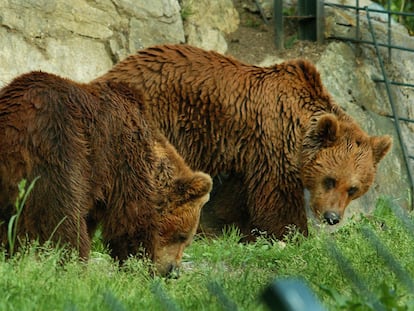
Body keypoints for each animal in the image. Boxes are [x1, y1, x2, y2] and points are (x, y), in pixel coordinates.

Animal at [0, 72, 212, 276]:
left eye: (187, 239)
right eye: (182, 236)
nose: (173, 271)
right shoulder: (123, 157)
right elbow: (131, 216)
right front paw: (140, 266)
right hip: (60, 151)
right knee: (63, 220)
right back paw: (73, 267)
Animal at [95, 43, 392, 239]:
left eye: (353, 188)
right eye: (330, 179)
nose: (332, 217)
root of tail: (113, 72)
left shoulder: (247, 151)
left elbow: (237, 194)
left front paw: (226, 226)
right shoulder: (274, 140)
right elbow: (277, 196)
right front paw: (293, 234)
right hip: (159, 118)